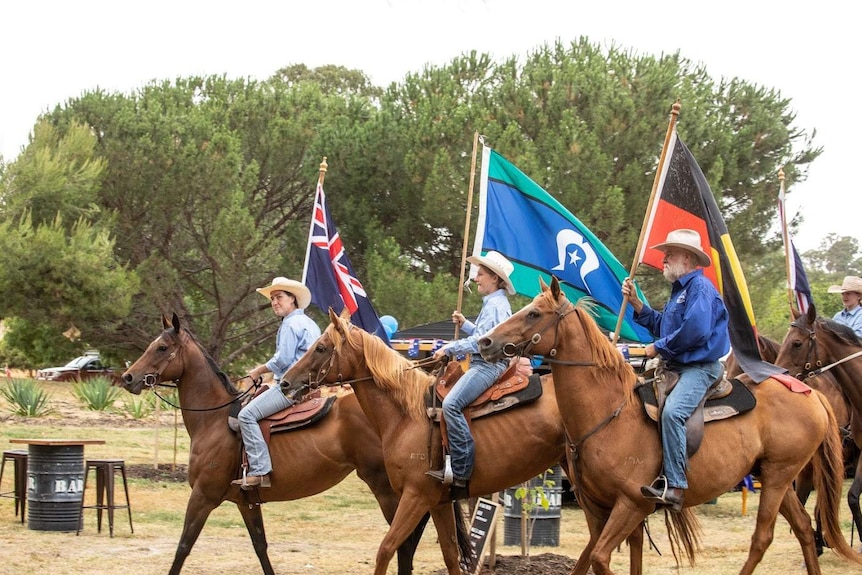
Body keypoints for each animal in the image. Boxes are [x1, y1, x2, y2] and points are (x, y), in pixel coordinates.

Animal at [120, 316, 430, 575]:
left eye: (161, 347)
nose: (127, 378)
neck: (214, 420)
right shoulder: (246, 502)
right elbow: (260, 547)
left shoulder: (203, 496)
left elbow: (183, 546)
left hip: (386, 488)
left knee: (403, 541)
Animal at [282, 312, 572, 575]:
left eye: (321, 347)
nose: (285, 382)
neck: (407, 416)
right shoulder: (438, 502)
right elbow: (451, 557)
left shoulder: (416, 495)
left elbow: (386, 549)